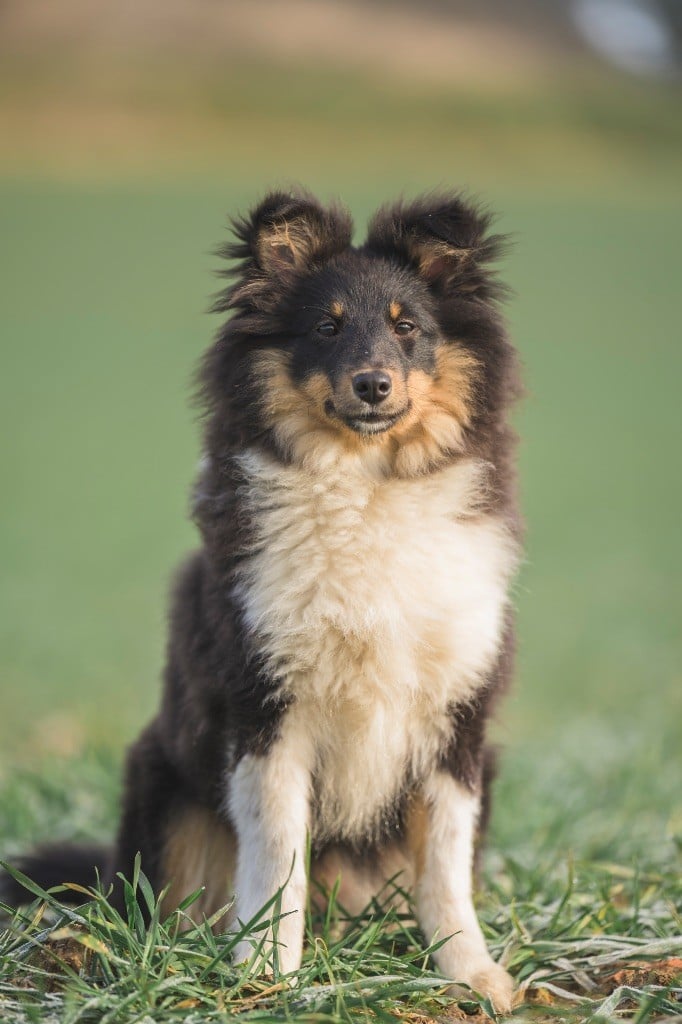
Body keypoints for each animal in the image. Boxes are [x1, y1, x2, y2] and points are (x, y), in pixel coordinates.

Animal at [1, 190, 520, 1007]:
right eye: (326, 327)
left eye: (408, 326)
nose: (373, 384)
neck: (365, 486)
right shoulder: (267, 704)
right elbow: (278, 854)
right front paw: (268, 977)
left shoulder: (459, 718)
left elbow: (445, 862)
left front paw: (473, 977)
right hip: (163, 784)